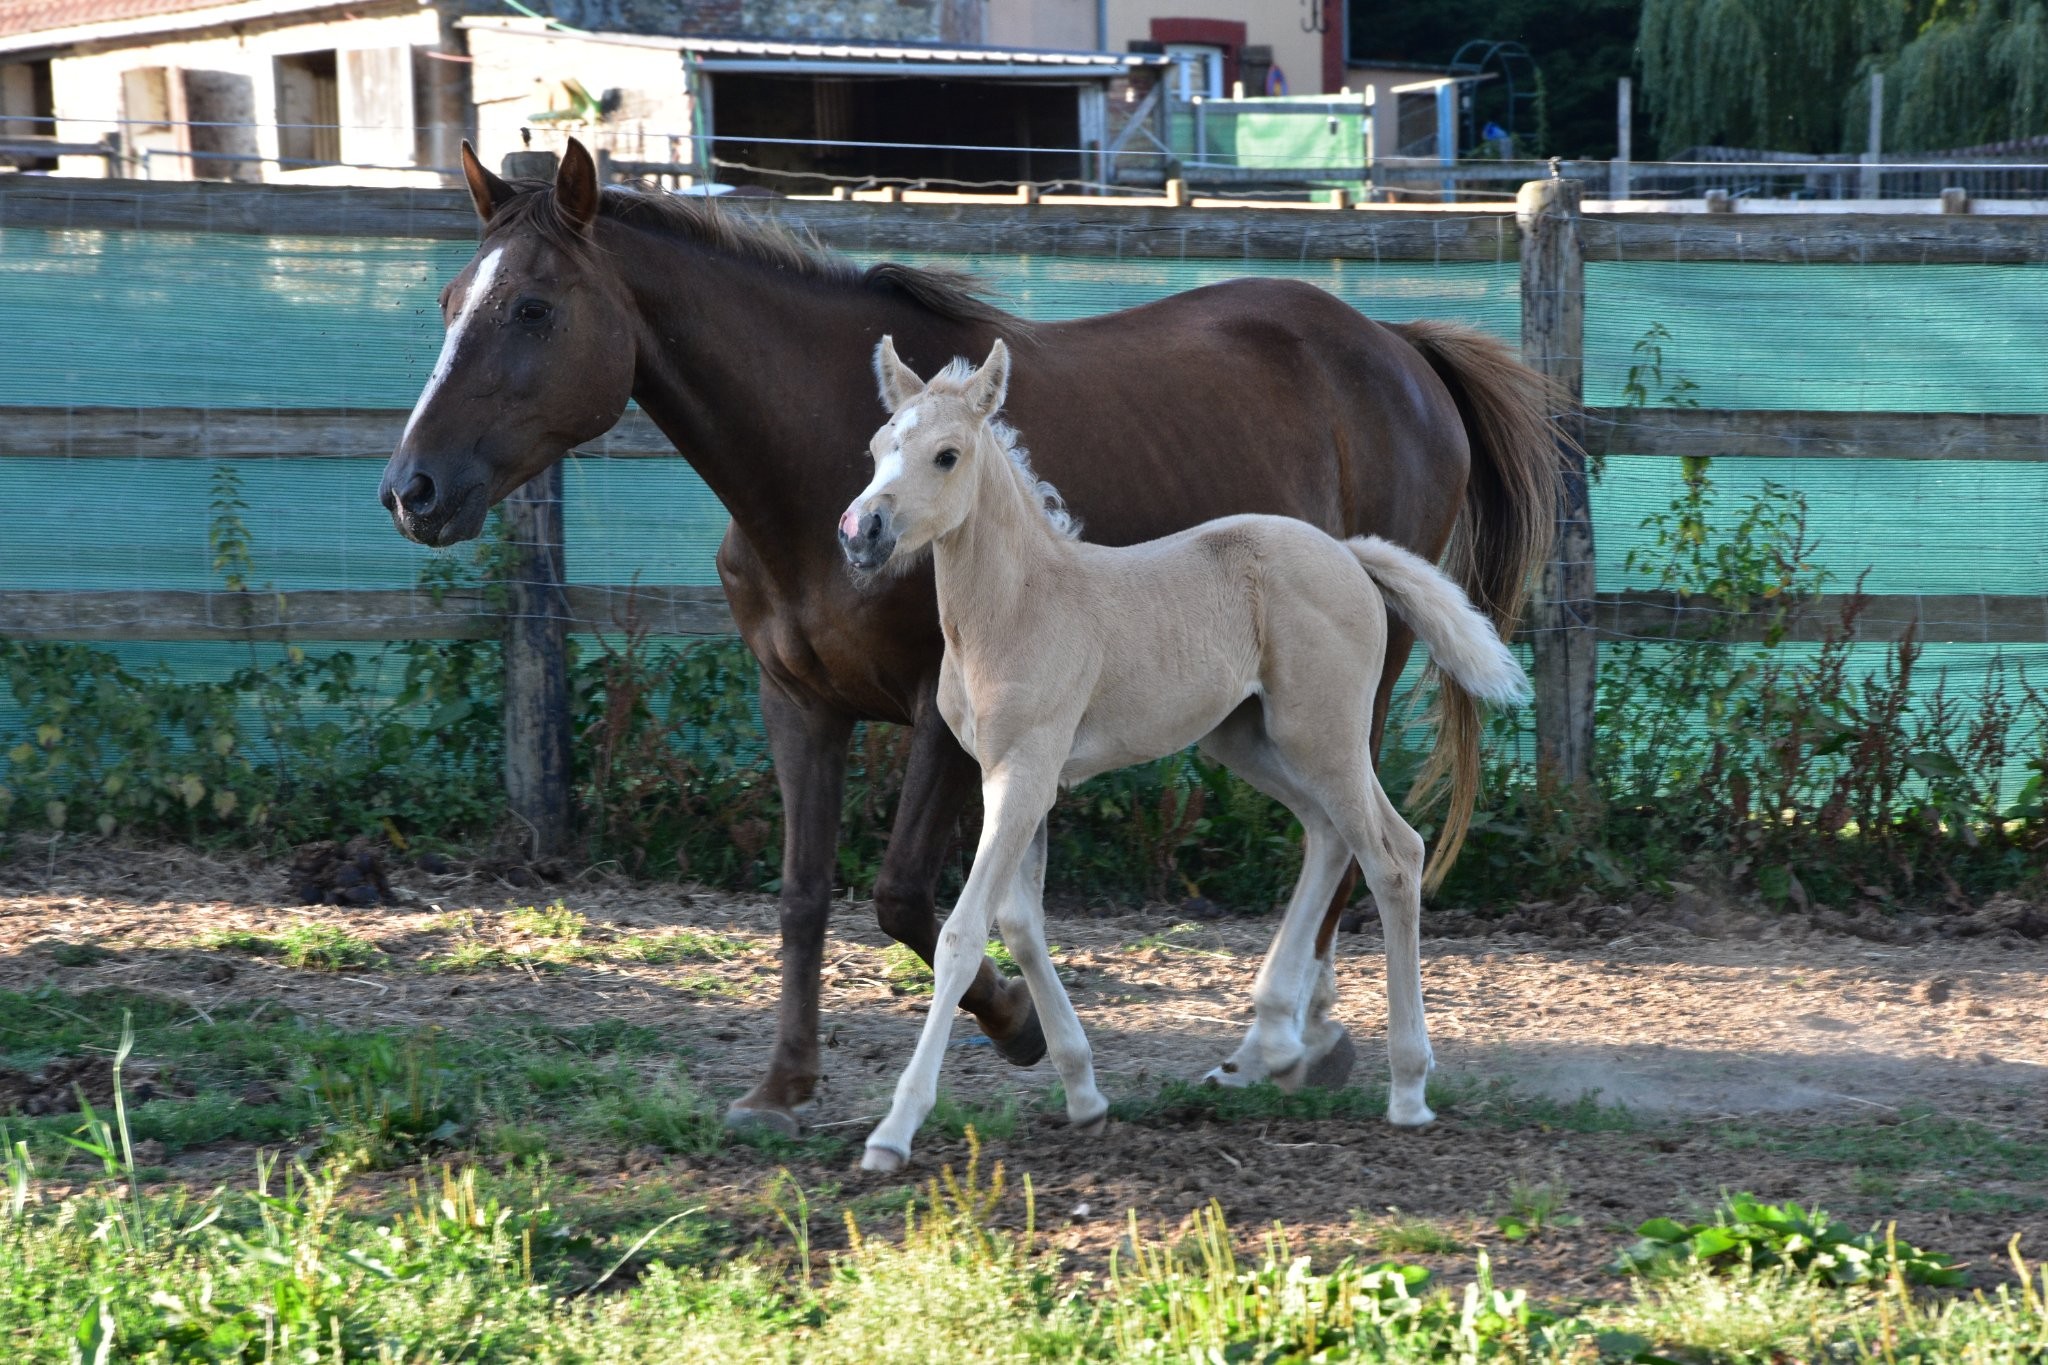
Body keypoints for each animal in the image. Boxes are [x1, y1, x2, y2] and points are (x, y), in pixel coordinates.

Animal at [839, 341, 1531, 1178]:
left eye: (947, 454)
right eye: (879, 446)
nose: (861, 530)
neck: (1018, 604)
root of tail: (1347, 552)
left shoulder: (1026, 771)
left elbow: (964, 934)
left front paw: (894, 1128)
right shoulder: (1017, 778)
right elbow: (1021, 923)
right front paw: (1083, 1091)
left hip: (1322, 732)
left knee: (1395, 855)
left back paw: (1406, 1087)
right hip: (1250, 738)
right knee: (1330, 835)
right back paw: (1270, 1045)